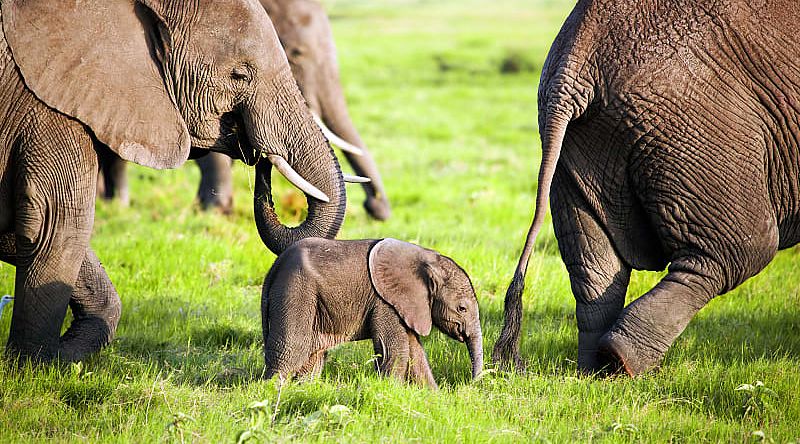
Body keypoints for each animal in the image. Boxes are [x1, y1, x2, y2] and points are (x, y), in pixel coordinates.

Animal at [1, 0, 348, 362]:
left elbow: (24, 233)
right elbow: (57, 224)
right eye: (240, 75)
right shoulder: (48, 108)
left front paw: (61, 358)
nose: (259, 155)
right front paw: (34, 366)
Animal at [266, 239, 484, 388]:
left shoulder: (405, 305)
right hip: (296, 291)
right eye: (462, 308)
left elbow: (415, 352)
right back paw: (272, 391)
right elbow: (396, 350)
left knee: (312, 357)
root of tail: (276, 265)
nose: (471, 384)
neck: (427, 258)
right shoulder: (385, 301)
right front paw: (391, 391)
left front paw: (433, 397)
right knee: (292, 349)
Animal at [494, 0, 800, 376]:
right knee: (739, 250)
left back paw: (596, 369)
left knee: (594, 267)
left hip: (578, 145)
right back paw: (622, 360)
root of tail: (575, 62)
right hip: (694, 125)